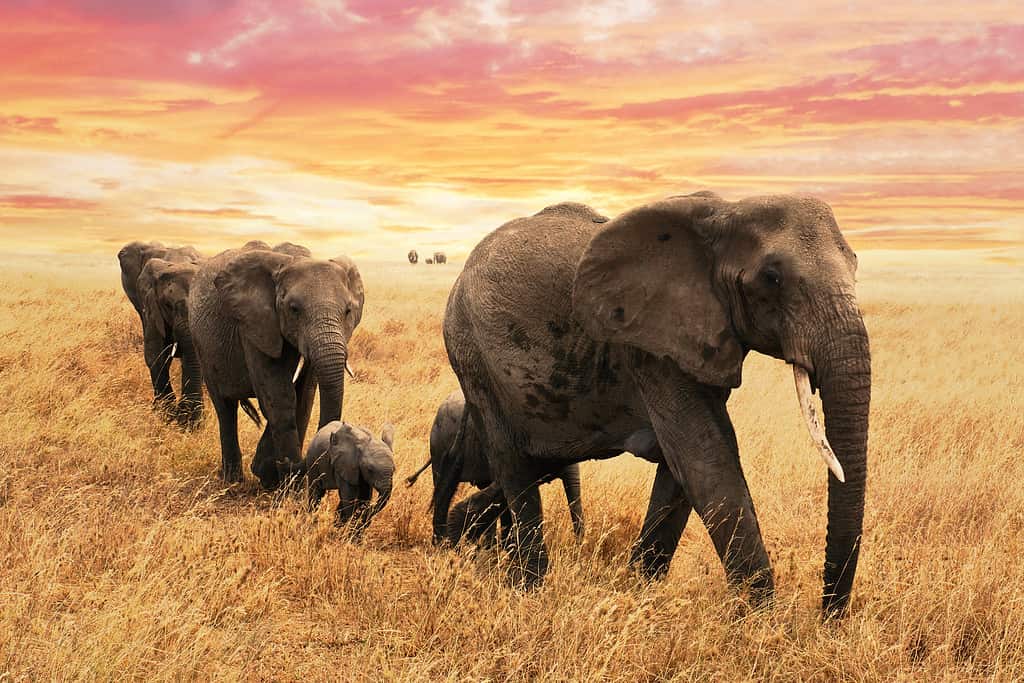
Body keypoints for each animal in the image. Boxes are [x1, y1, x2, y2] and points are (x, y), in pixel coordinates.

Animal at [188, 242, 364, 489]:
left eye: (348, 311)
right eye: (294, 309)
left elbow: (305, 395)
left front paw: (271, 475)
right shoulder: (254, 325)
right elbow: (279, 396)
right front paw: (289, 484)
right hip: (202, 346)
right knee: (225, 408)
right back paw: (232, 480)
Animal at [439, 193, 871, 618]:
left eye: (855, 265)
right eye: (772, 278)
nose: (828, 618)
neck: (728, 210)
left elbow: (684, 467)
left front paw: (639, 591)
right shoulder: (651, 348)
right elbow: (705, 459)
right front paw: (761, 621)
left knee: (530, 466)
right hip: (472, 356)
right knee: (514, 466)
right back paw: (529, 587)